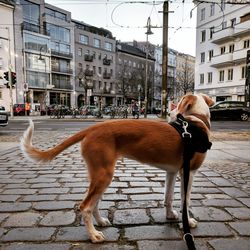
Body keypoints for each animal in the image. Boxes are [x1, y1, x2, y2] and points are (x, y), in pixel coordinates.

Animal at [20, 93, 214, 242]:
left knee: (93, 203)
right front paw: (188, 222)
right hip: (104, 175)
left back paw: (100, 222)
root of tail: (91, 128)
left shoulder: (172, 172)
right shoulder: (188, 172)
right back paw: (93, 235)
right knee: (85, 206)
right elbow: (185, 200)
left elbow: (168, 197)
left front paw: (171, 215)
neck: (196, 123)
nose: (170, 112)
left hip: (99, 175)